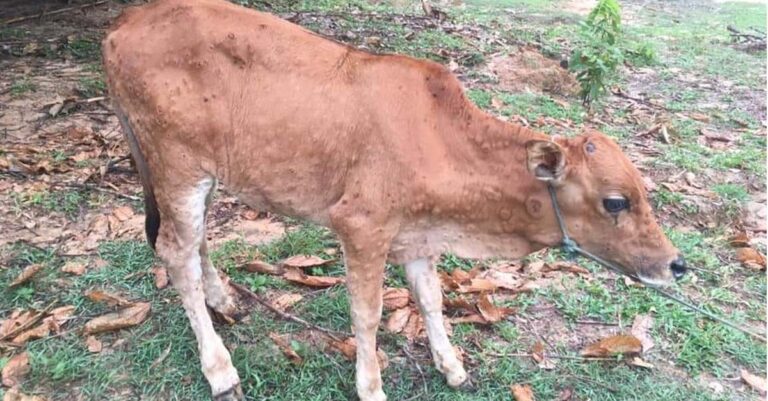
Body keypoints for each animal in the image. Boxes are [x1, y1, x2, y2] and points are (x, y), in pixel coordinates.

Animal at [102, 1, 684, 398]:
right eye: (616, 202)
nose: (676, 265)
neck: (440, 139)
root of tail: (126, 21)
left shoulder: (417, 236)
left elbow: (431, 299)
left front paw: (450, 365)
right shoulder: (361, 226)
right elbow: (368, 313)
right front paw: (372, 384)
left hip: (200, 175)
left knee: (196, 239)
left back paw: (222, 300)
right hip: (177, 166)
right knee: (175, 252)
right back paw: (219, 367)